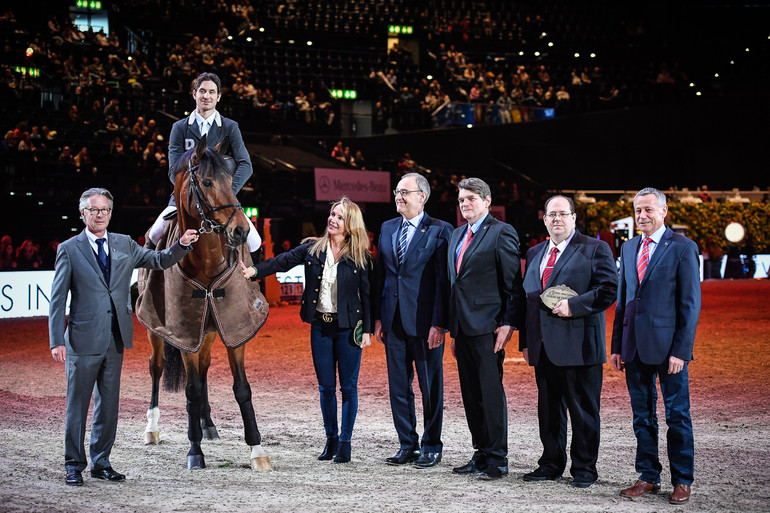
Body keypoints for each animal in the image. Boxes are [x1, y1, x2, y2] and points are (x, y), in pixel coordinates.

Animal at [135, 135, 270, 468]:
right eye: (207, 182)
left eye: (231, 181)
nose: (240, 230)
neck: (207, 261)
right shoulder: (183, 333)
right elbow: (191, 390)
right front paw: (194, 451)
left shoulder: (233, 329)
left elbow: (242, 389)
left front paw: (257, 450)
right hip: (157, 331)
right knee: (156, 368)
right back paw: (152, 428)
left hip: (208, 332)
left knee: (205, 367)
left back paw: (207, 424)